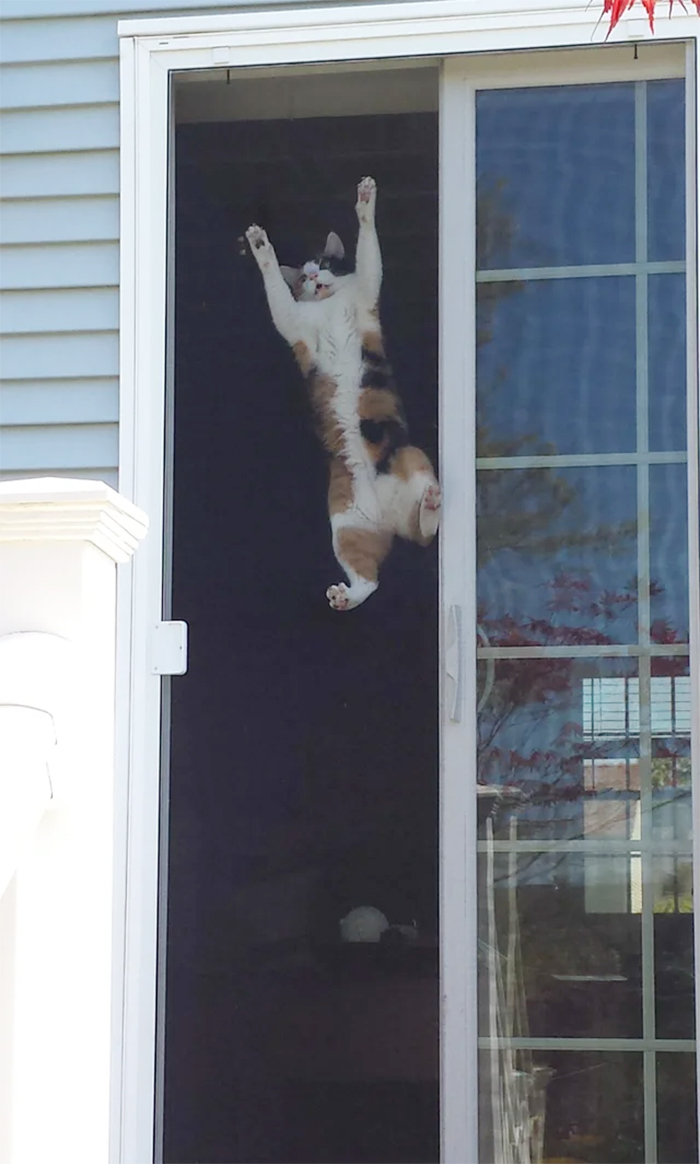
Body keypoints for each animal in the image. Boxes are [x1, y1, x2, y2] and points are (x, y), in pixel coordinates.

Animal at [246, 174, 437, 609]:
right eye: (303, 278)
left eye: (327, 264)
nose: (315, 278)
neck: (327, 304)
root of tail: (389, 517)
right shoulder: (293, 325)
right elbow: (276, 290)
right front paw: (261, 246)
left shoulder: (365, 290)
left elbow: (368, 250)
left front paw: (365, 200)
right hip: (345, 526)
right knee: (370, 578)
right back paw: (345, 596)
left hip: (413, 460)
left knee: (426, 533)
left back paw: (432, 506)